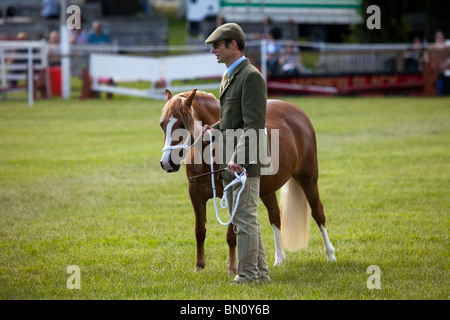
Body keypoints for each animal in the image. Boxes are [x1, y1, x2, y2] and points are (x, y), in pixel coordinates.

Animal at [158, 89, 334, 274]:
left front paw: (232, 269)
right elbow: (199, 231)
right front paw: (199, 267)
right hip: (268, 190)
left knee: (318, 213)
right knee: (275, 217)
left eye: (183, 125)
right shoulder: (196, 195)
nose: (167, 163)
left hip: (309, 179)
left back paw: (330, 255)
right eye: (162, 124)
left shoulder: (233, 193)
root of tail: (297, 112)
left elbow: (231, 234)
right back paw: (279, 259)